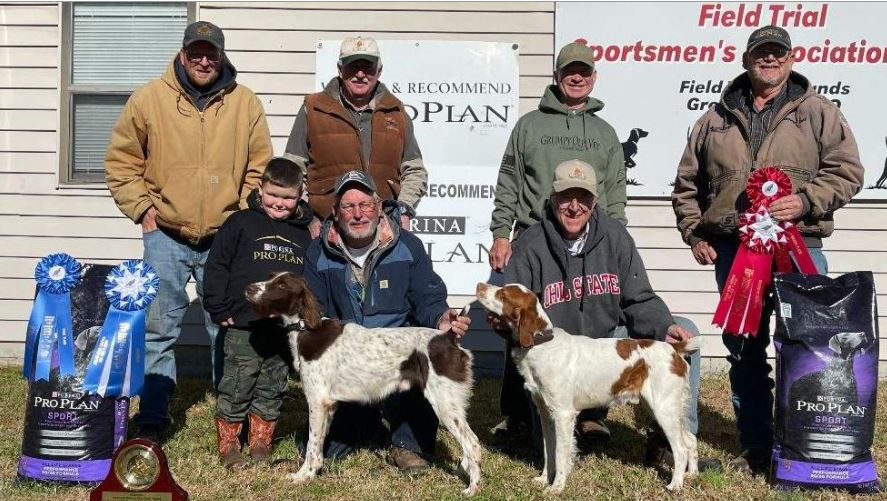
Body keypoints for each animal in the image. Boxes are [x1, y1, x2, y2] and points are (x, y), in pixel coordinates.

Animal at [246, 272, 482, 494]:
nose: (249, 288)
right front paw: (312, 472)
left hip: (445, 405)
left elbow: (312, 445)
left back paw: (473, 488)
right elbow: (319, 445)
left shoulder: (317, 401)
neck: (306, 328)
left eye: (282, 285)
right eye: (270, 277)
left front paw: (304, 476)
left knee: (473, 444)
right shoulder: (329, 406)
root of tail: (448, 337)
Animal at [476, 284, 696, 490]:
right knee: (691, 440)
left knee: (680, 449)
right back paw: (692, 475)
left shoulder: (563, 414)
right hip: (664, 409)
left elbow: (561, 453)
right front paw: (543, 480)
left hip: (663, 409)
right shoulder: (546, 413)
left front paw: (556, 488)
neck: (542, 344)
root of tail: (673, 348)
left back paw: (675, 485)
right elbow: (549, 450)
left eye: (503, 294)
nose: (479, 286)